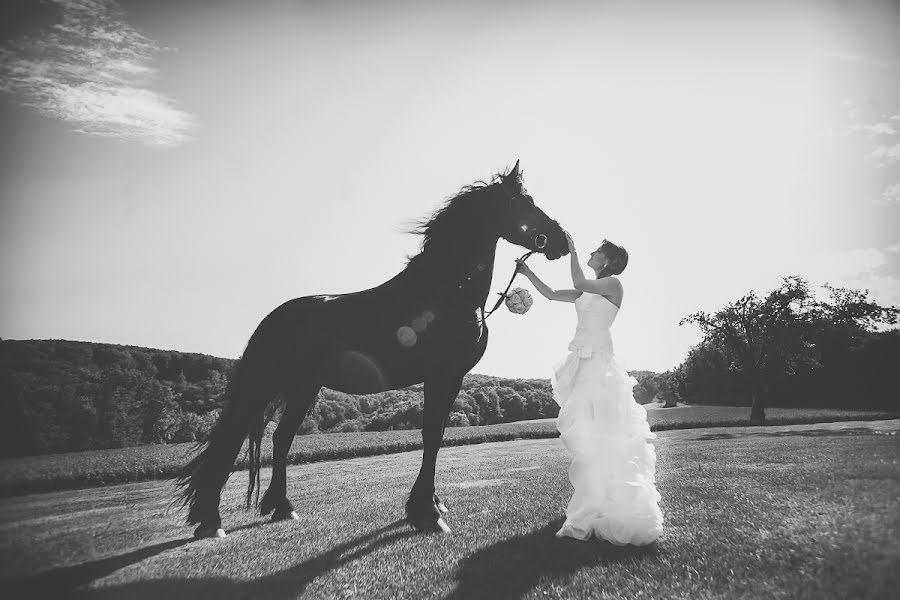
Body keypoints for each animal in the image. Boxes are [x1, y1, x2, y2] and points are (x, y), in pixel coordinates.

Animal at [175, 161, 568, 540]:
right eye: (525, 204)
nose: (563, 240)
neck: (444, 289)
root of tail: (272, 318)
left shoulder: (451, 379)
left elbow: (438, 434)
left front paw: (432, 503)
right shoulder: (442, 375)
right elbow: (431, 436)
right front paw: (426, 513)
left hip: (304, 387)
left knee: (281, 437)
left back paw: (281, 507)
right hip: (267, 385)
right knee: (233, 441)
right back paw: (211, 519)